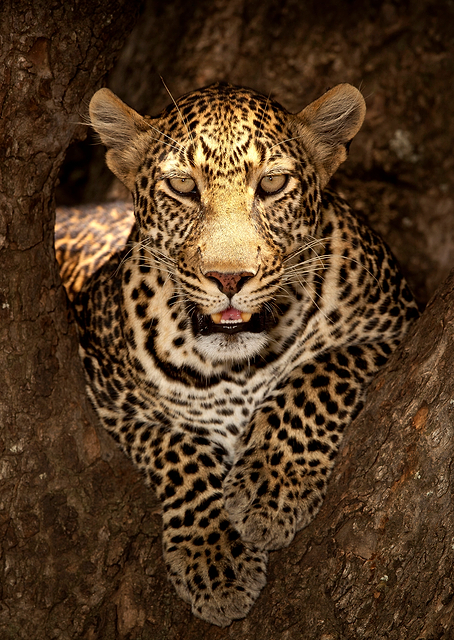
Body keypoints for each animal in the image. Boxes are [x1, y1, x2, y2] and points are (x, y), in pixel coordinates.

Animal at [55, 81, 419, 627]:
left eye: (272, 184)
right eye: (184, 187)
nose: (229, 279)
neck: (236, 368)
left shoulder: (394, 325)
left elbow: (315, 376)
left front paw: (271, 488)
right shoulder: (107, 394)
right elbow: (177, 449)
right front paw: (215, 558)